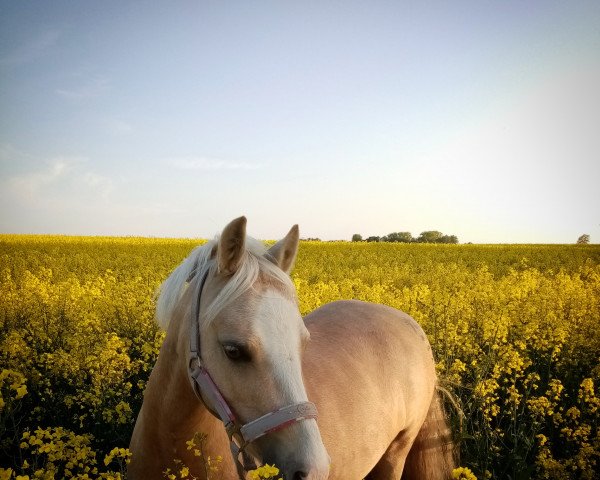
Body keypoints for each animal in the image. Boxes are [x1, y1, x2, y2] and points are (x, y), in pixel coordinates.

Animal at [129, 218, 452, 480]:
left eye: (303, 344)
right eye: (233, 350)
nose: (314, 469)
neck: (171, 442)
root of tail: (411, 325)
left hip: (397, 453)